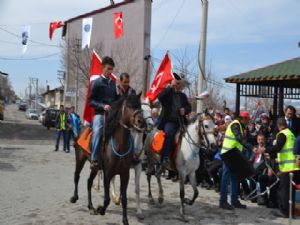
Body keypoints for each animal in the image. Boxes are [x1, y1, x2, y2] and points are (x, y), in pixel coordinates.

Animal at [71, 92, 145, 225]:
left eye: (140, 105)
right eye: (129, 105)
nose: (141, 122)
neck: (120, 145)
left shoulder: (125, 174)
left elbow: (124, 198)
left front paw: (125, 220)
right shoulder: (107, 173)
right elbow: (106, 199)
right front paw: (101, 209)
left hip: (95, 167)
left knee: (89, 182)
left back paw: (91, 207)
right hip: (80, 159)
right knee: (76, 176)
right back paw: (74, 198)